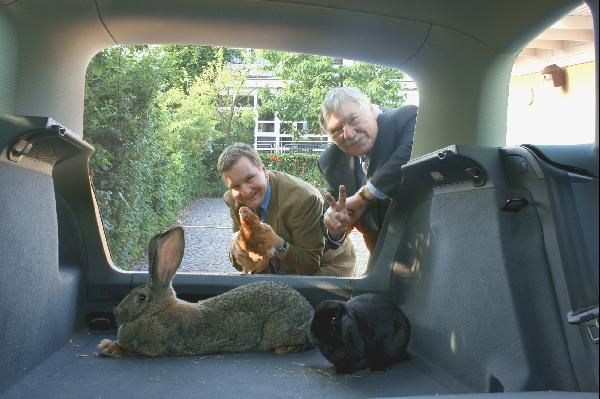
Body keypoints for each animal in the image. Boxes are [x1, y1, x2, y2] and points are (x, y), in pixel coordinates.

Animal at [97, 228, 314, 360]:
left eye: (141, 297)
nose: (116, 312)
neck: (157, 311)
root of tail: (309, 312)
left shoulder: (155, 345)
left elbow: (133, 349)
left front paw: (108, 346)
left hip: (280, 328)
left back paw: (284, 349)